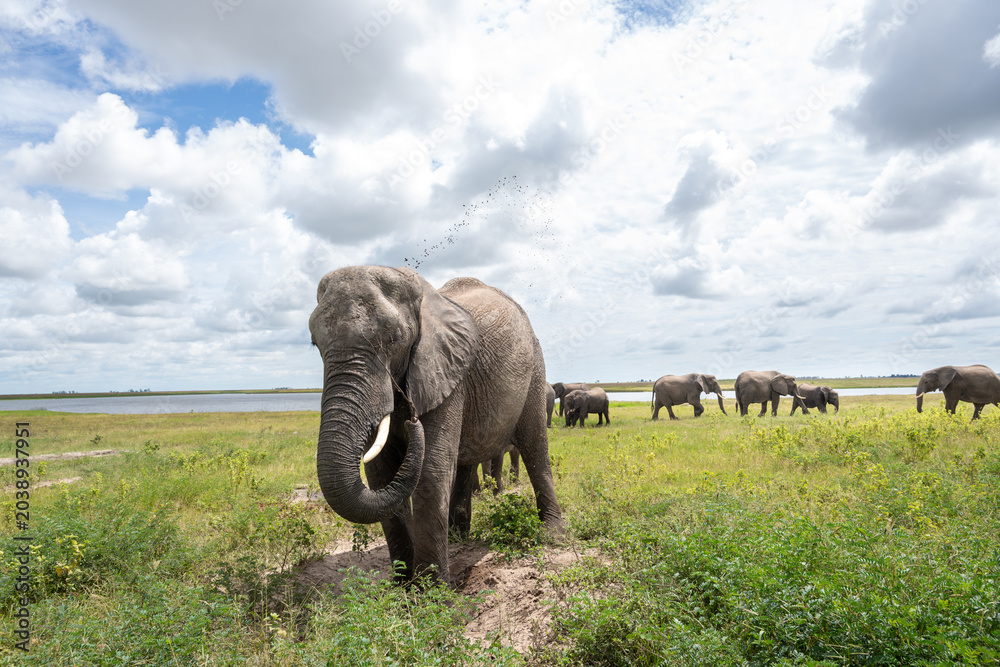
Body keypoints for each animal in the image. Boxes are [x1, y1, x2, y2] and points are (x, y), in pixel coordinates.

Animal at [308, 265, 563, 586]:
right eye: (315, 343)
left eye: (394, 339)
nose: (412, 418)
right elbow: (379, 472)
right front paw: (401, 586)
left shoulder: (444, 368)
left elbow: (431, 469)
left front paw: (431, 590)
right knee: (466, 460)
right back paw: (457, 537)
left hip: (534, 369)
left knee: (534, 446)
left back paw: (552, 534)